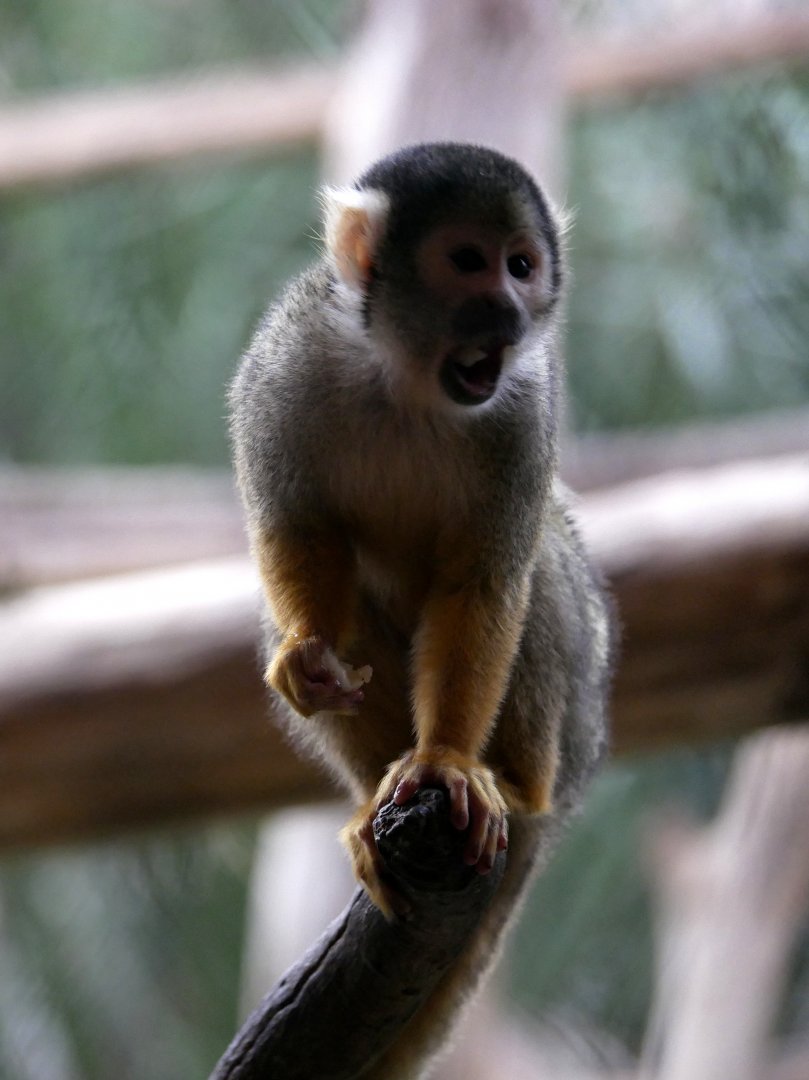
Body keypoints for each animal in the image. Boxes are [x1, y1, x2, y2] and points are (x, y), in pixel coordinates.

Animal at [229, 142, 612, 1078]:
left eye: (522, 266)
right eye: (469, 261)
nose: (507, 308)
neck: (408, 380)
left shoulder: (525, 406)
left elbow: (484, 584)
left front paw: (445, 761)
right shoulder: (287, 353)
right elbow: (296, 525)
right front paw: (308, 654)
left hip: (574, 733)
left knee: (539, 567)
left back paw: (506, 785)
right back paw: (373, 802)